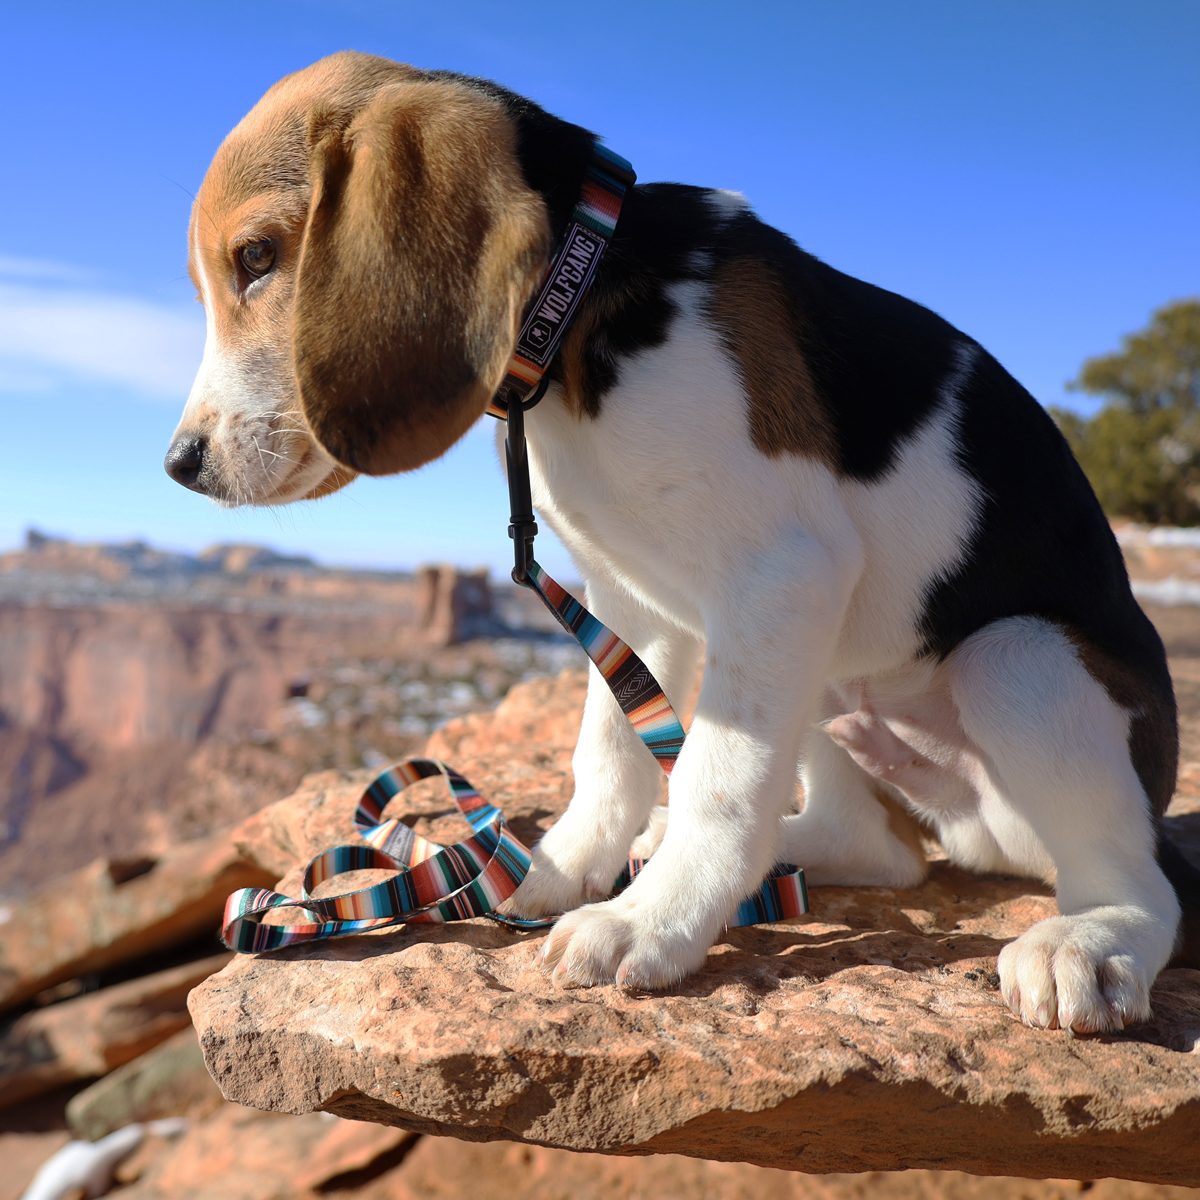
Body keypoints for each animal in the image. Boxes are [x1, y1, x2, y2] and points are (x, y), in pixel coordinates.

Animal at [164, 51, 1195, 1032]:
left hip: (1017, 661)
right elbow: (611, 749)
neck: (583, 315)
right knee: (882, 848)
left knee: (1143, 885)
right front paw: (550, 871)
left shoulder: (781, 574)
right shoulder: (635, 604)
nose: (181, 465)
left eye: (258, 255)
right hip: (822, 683)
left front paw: (647, 922)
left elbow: (716, 778)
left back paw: (1087, 944)